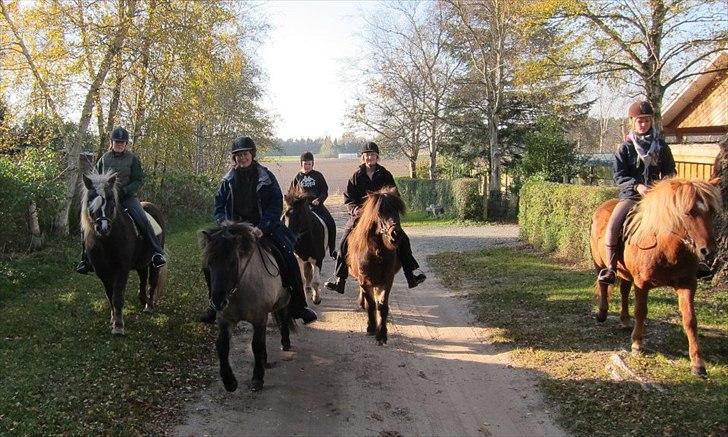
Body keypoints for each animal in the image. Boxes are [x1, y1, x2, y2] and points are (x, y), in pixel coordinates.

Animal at [81, 170, 166, 334]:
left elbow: (118, 296)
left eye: (112, 201)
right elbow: (110, 295)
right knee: (142, 279)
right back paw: (143, 300)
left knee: (152, 280)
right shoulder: (102, 271)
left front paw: (119, 326)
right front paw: (113, 318)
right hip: (141, 261)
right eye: (89, 202)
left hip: (153, 260)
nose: (103, 228)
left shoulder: (122, 269)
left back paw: (149, 305)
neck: (106, 242)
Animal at [592, 177, 724, 374]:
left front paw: (698, 363)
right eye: (688, 212)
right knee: (603, 284)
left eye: (712, 212)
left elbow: (690, 320)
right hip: (599, 263)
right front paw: (637, 345)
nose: (708, 251)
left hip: (625, 272)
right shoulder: (642, 283)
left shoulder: (687, 284)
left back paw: (625, 320)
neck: (665, 247)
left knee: (624, 291)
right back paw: (602, 313)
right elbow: (641, 312)